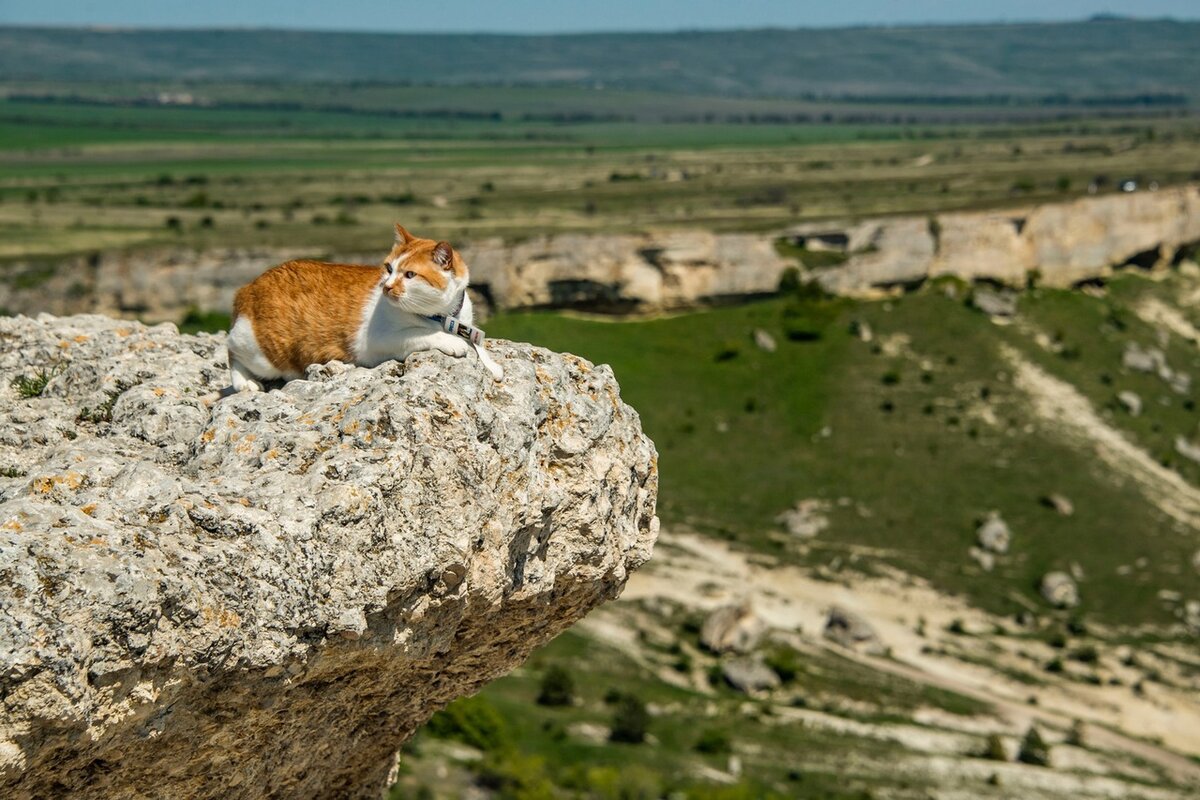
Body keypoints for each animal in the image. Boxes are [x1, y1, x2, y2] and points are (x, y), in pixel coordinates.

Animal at [225, 224, 501, 393]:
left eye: (410, 275)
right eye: (388, 268)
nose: (386, 287)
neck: (443, 316)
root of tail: (248, 287)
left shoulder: (466, 324)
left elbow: (479, 345)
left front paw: (491, 364)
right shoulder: (379, 340)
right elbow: (422, 334)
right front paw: (452, 342)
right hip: (262, 353)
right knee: (231, 352)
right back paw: (244, 383)